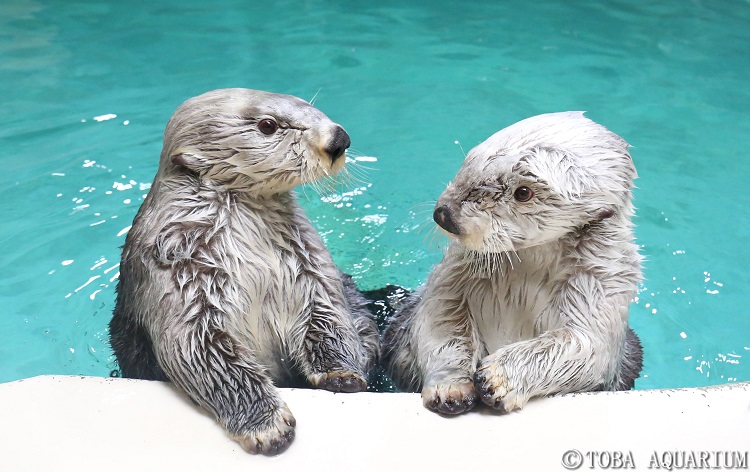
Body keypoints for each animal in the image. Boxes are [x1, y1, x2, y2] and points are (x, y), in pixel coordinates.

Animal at [110, 88, 382, 454]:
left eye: (310, 107)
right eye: (268, 125)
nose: (339, 139)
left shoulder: (309, 263)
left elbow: (327, 313)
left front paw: (341, 374)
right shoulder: (173, 272)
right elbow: (202, 352)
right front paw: (267, 425)